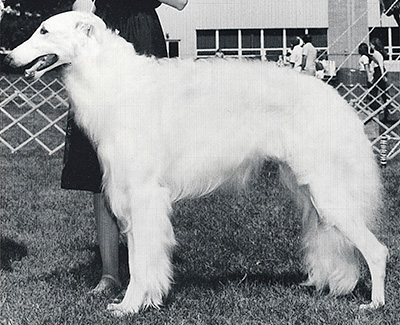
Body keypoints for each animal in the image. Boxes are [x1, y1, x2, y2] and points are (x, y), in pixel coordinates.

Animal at [6, 10, 388, 314]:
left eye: (44, 30)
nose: (8, 58)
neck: (116, 83)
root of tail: (336, 99)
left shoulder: (143, 195)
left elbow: (140, 263)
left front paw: (129, 306)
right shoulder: (130, 196)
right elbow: (142, 258)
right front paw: (145, 299)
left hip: (328, 194)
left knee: (378, 250)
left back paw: (375, 304)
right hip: (312, 192)